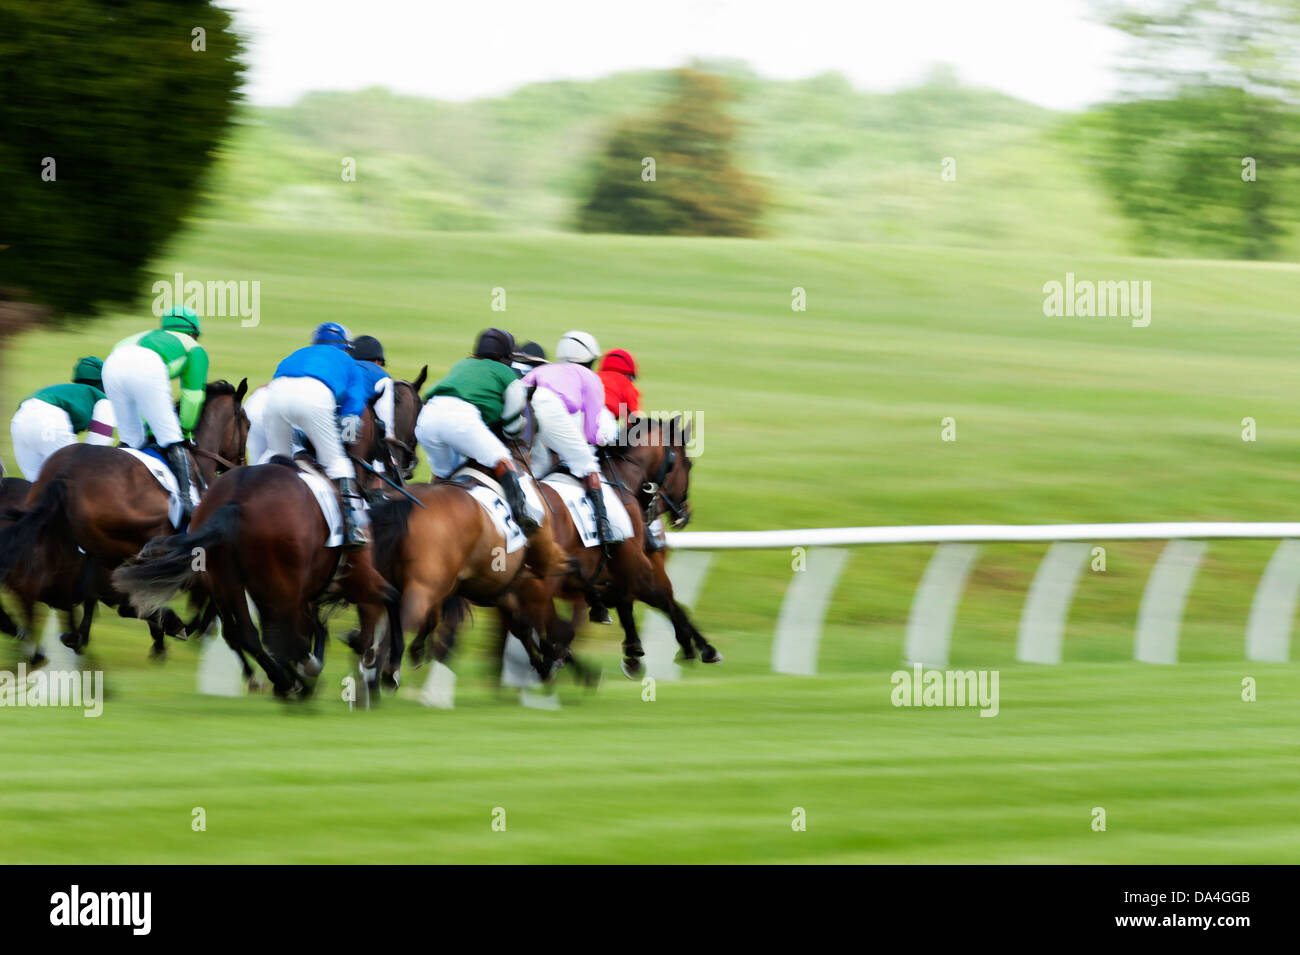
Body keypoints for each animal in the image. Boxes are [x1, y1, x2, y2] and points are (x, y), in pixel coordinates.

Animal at [0, 382, 249, 657]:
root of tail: (63, 476)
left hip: (68, 542)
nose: (240, 465)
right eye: (247, 424)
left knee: (39, 583)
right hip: (128, 541)